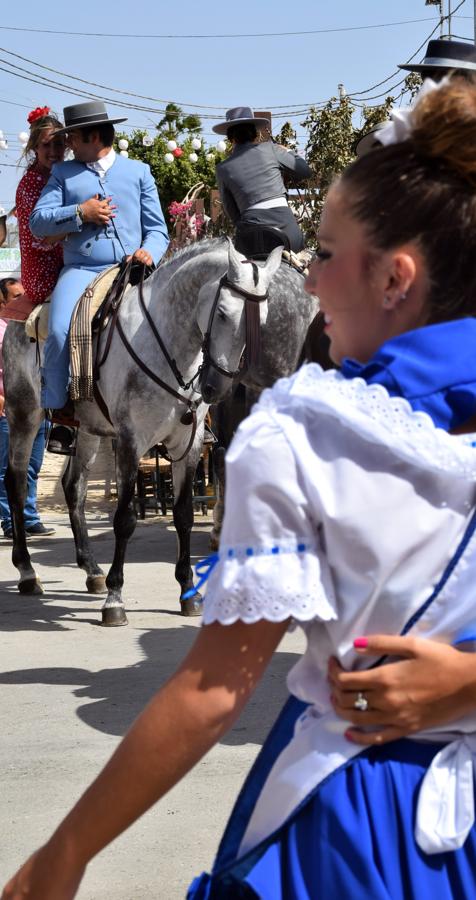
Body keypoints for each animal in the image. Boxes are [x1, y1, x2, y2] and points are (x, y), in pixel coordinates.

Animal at [3, 239, 318, 624]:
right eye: (224, 314)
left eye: (263, 320)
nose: (216, 387)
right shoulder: (129, 442)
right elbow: (124, 519)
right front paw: (115, 598)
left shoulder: (189, 445)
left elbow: (183, 515)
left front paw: (188, 592)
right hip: (24, 413)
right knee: (17, 483)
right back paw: (28, 571)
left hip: (90, 430)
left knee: (74, 487)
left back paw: (91, 570)